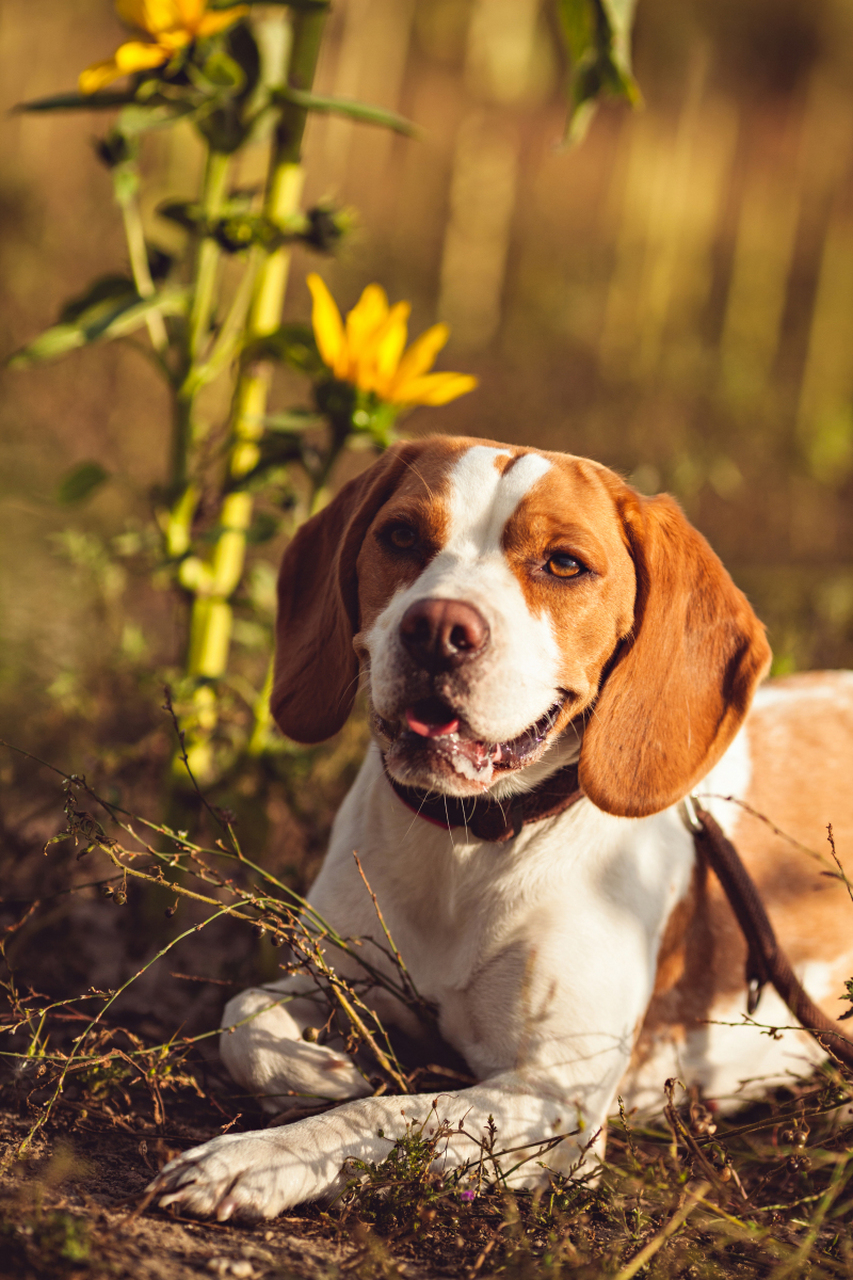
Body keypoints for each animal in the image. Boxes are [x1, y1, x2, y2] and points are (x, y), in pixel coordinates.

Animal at [151, 437, 850, 1218]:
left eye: (564, 564)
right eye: (400, 536)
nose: (436, 628)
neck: (466, 842)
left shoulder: (550, 1101)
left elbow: (383, 1113)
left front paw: (254, 1159)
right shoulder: (335, 981)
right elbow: (242, 1014)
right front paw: (316, 1072)